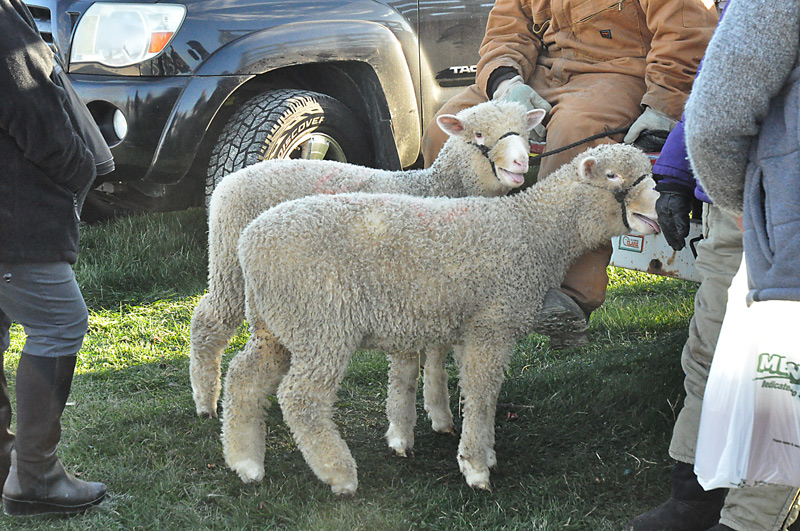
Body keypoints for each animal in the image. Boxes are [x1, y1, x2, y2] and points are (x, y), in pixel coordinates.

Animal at [189, 100, 542, 423]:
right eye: (478, 135)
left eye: (525, 134)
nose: (520, 163)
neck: (434, 187)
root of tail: (228, 182)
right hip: (229, 261)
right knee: (210, 318)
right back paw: (206, 401)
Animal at [222, 142, 661, 495]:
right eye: (613, 175)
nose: (659, 210)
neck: (533, 231)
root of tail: (248, 241)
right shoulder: (491, 326)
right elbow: (482, 395)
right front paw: (476, 468)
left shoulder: (472, 330)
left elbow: (477, 393)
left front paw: (482, 450)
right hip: (320, 324)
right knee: (301, 399)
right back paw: (339, 474)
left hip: (279, 324)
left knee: (243, 377)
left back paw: (246, 462)